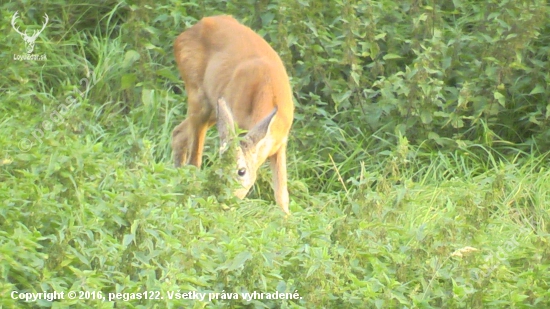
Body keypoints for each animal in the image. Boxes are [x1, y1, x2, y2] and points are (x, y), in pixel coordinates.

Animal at [172, 15, 296, 214]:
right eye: (218, 165)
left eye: (241, 171)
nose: (221, 199)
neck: (268, 94)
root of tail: (184, 33)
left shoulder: (281, 143)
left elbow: (281, 195)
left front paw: (287, 220)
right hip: (198, 94)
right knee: (194, 160)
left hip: (214, 106)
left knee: (178, 133)